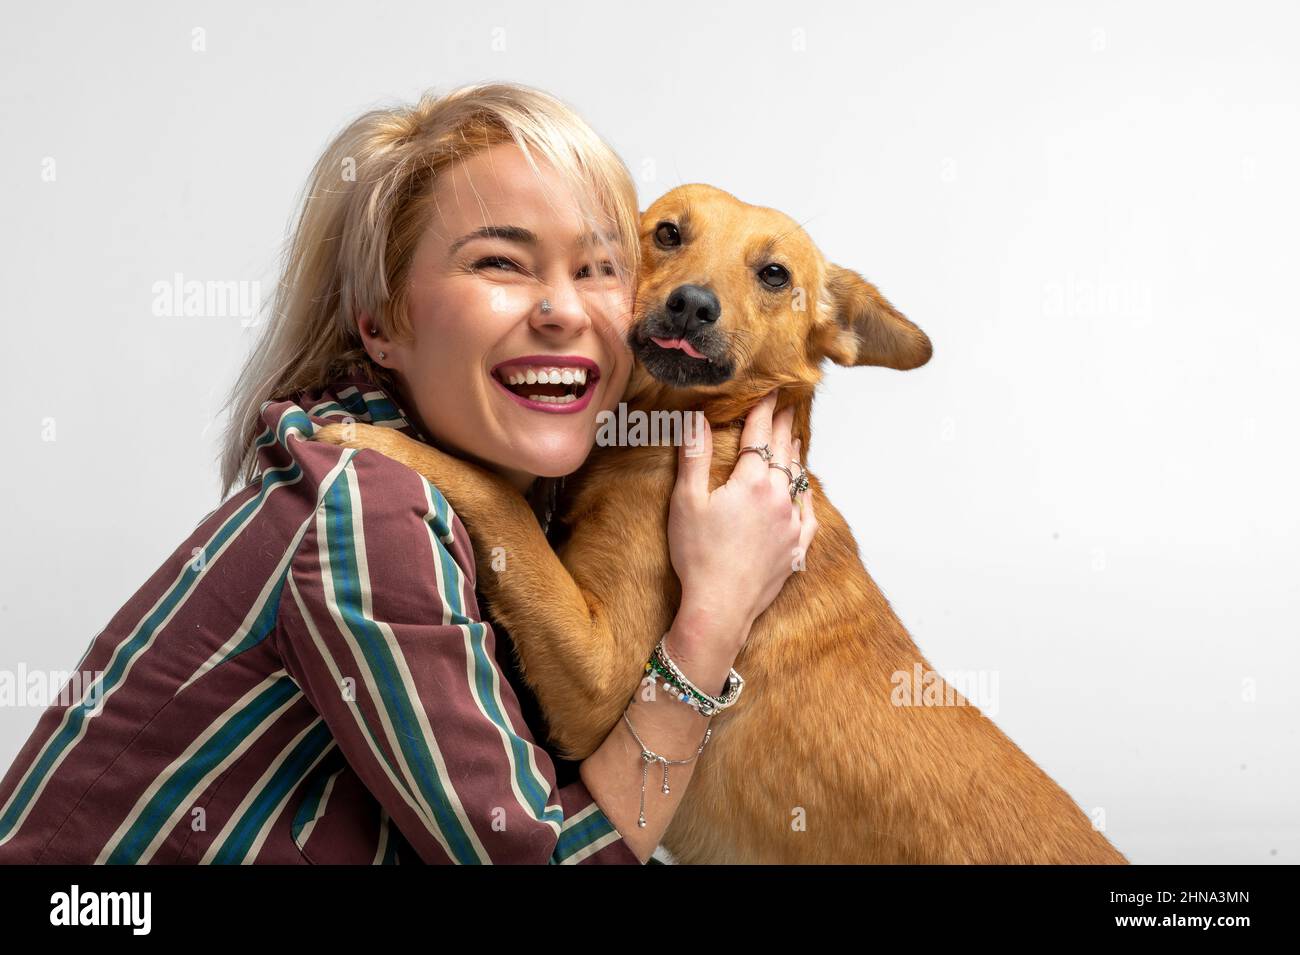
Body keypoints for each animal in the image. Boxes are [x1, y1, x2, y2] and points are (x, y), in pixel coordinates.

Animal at [314, 184, 1128, 867]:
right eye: (668, 233)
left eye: (773, 273)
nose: (692, 306)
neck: (688, 433)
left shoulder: (604, 679)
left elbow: (497, 497)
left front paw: (380, 441)